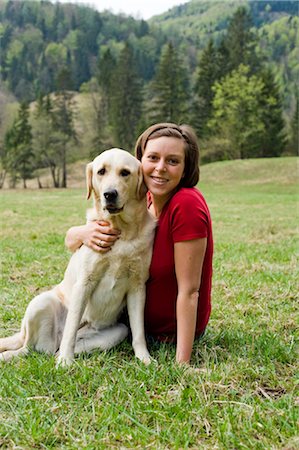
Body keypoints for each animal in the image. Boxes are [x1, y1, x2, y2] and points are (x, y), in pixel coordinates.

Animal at [0, 149, 156, 368]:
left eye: (125, 173)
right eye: (101, 171)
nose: (110, 194)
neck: (121, 232)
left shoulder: (137, 287)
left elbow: (139, 332)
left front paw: (144, 358)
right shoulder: (84, 283)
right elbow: (71, 328)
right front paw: (66, 361)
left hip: (116, 332)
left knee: (51, 350)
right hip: (41, 302)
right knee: (28, 348)